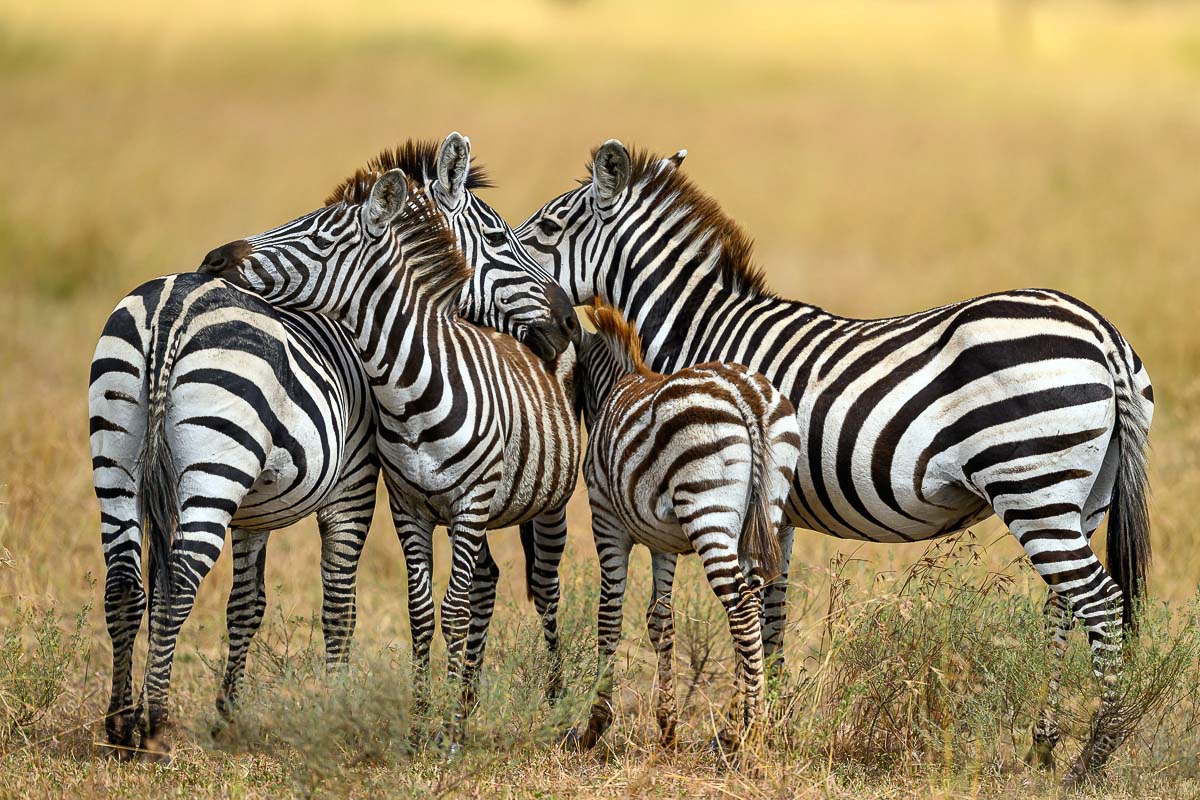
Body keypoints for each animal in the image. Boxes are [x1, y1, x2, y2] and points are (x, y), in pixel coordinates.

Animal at [90, 133, 577, 760]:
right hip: (213, 472)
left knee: (125, 584)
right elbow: (340, 603)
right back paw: (154, 725)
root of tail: (174, 305)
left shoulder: (253, 512)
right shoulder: (356, 485)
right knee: (176, 584)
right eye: (499, 238)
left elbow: (245, 606)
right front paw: (340, 710)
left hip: (118, 457)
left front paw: (228, 716)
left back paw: (119, 725)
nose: (568, 323)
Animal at [570, 301, 801, 751]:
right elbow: (661, 619)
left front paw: (596, 725)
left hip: (706, 510)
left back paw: (754, 729)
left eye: (570, 378)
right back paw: (743, 727)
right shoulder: (662, 543)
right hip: (766, 512)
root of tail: (746, 397)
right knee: (753, 606)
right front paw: (667, 727)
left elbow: (609, 615)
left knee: (741, 607)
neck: (617, 385)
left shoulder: (606, 520)